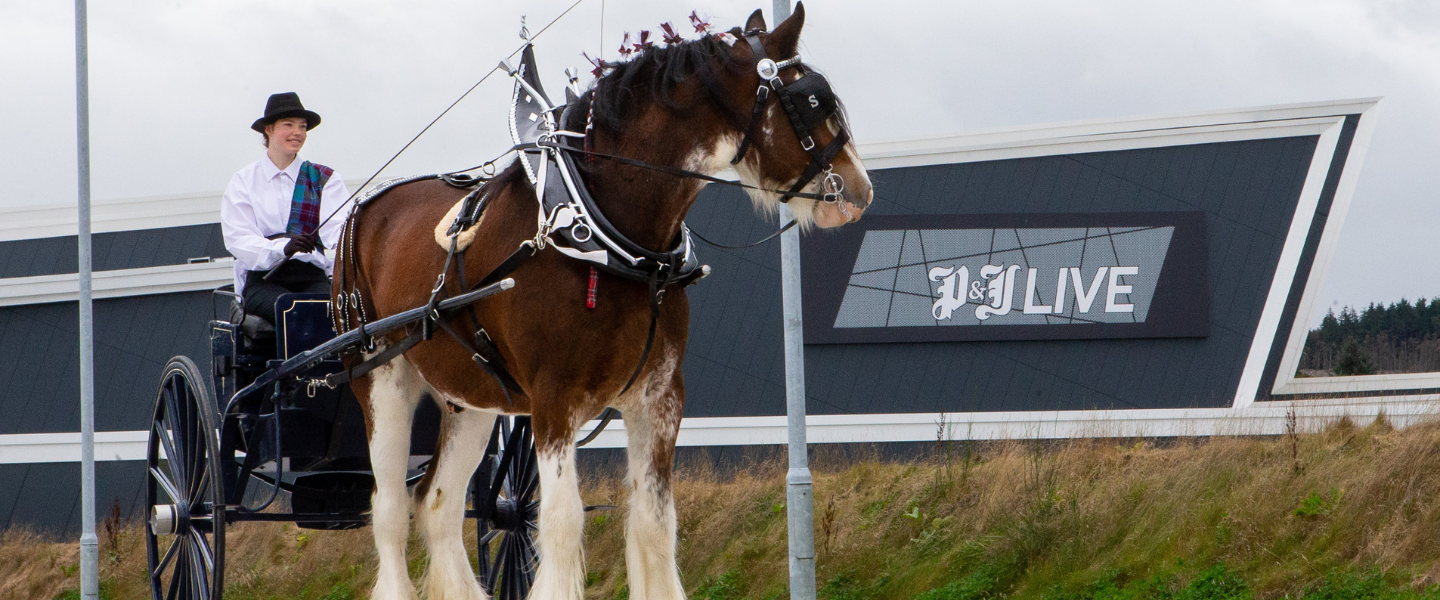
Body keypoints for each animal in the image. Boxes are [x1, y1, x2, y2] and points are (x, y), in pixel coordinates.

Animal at [339, 5, 864, 598]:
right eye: (811, 100)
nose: (860, 191)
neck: (604, 232)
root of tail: (362, 211)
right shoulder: (552, 401)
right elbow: (562, 525)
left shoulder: (659, 397)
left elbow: (656, 524)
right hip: (381, 383)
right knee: (388, 513)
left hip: (470, 400)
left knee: (436, 505)